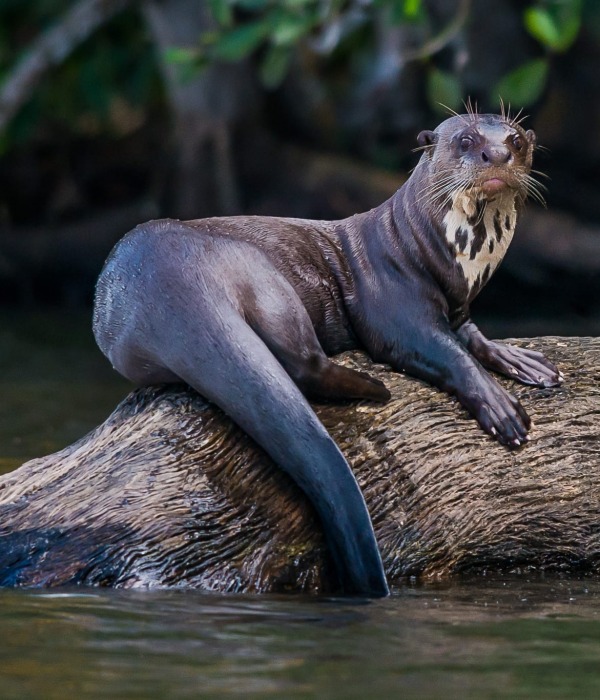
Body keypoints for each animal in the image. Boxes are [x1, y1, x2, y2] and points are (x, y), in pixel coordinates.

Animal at [92, 109, 564, 596]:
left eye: (515, 140)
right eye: (466, 140)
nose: (497, 155)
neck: (432, 252)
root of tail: (166, 282)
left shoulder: (458, 307)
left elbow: (473, 337)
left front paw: (523, 362)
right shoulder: (394, 306)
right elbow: (443, 351)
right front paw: (500, 407)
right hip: (260, 274)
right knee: (303, 363)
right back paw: (374, 388)